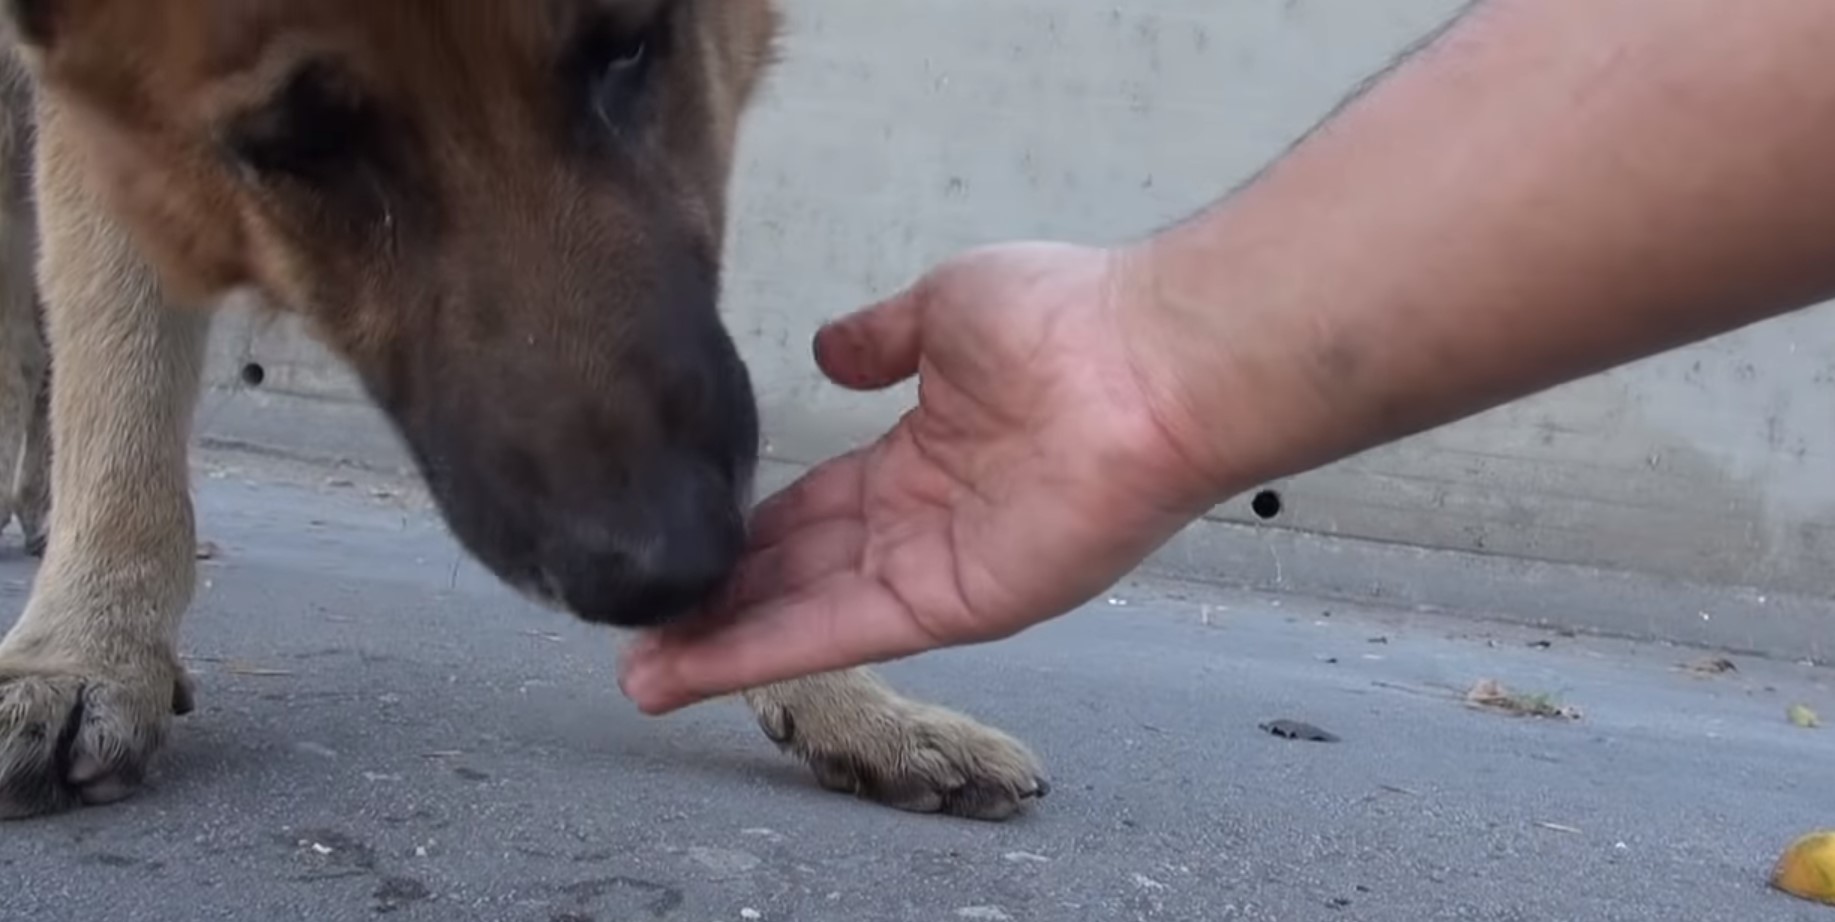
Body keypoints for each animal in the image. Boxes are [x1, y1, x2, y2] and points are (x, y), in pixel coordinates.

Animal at [0, 0, 1049, 822]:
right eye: (297, 145)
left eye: (629, 47)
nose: (668, 567)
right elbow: (121, 381)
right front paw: (85, 651)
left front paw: (845, 698)